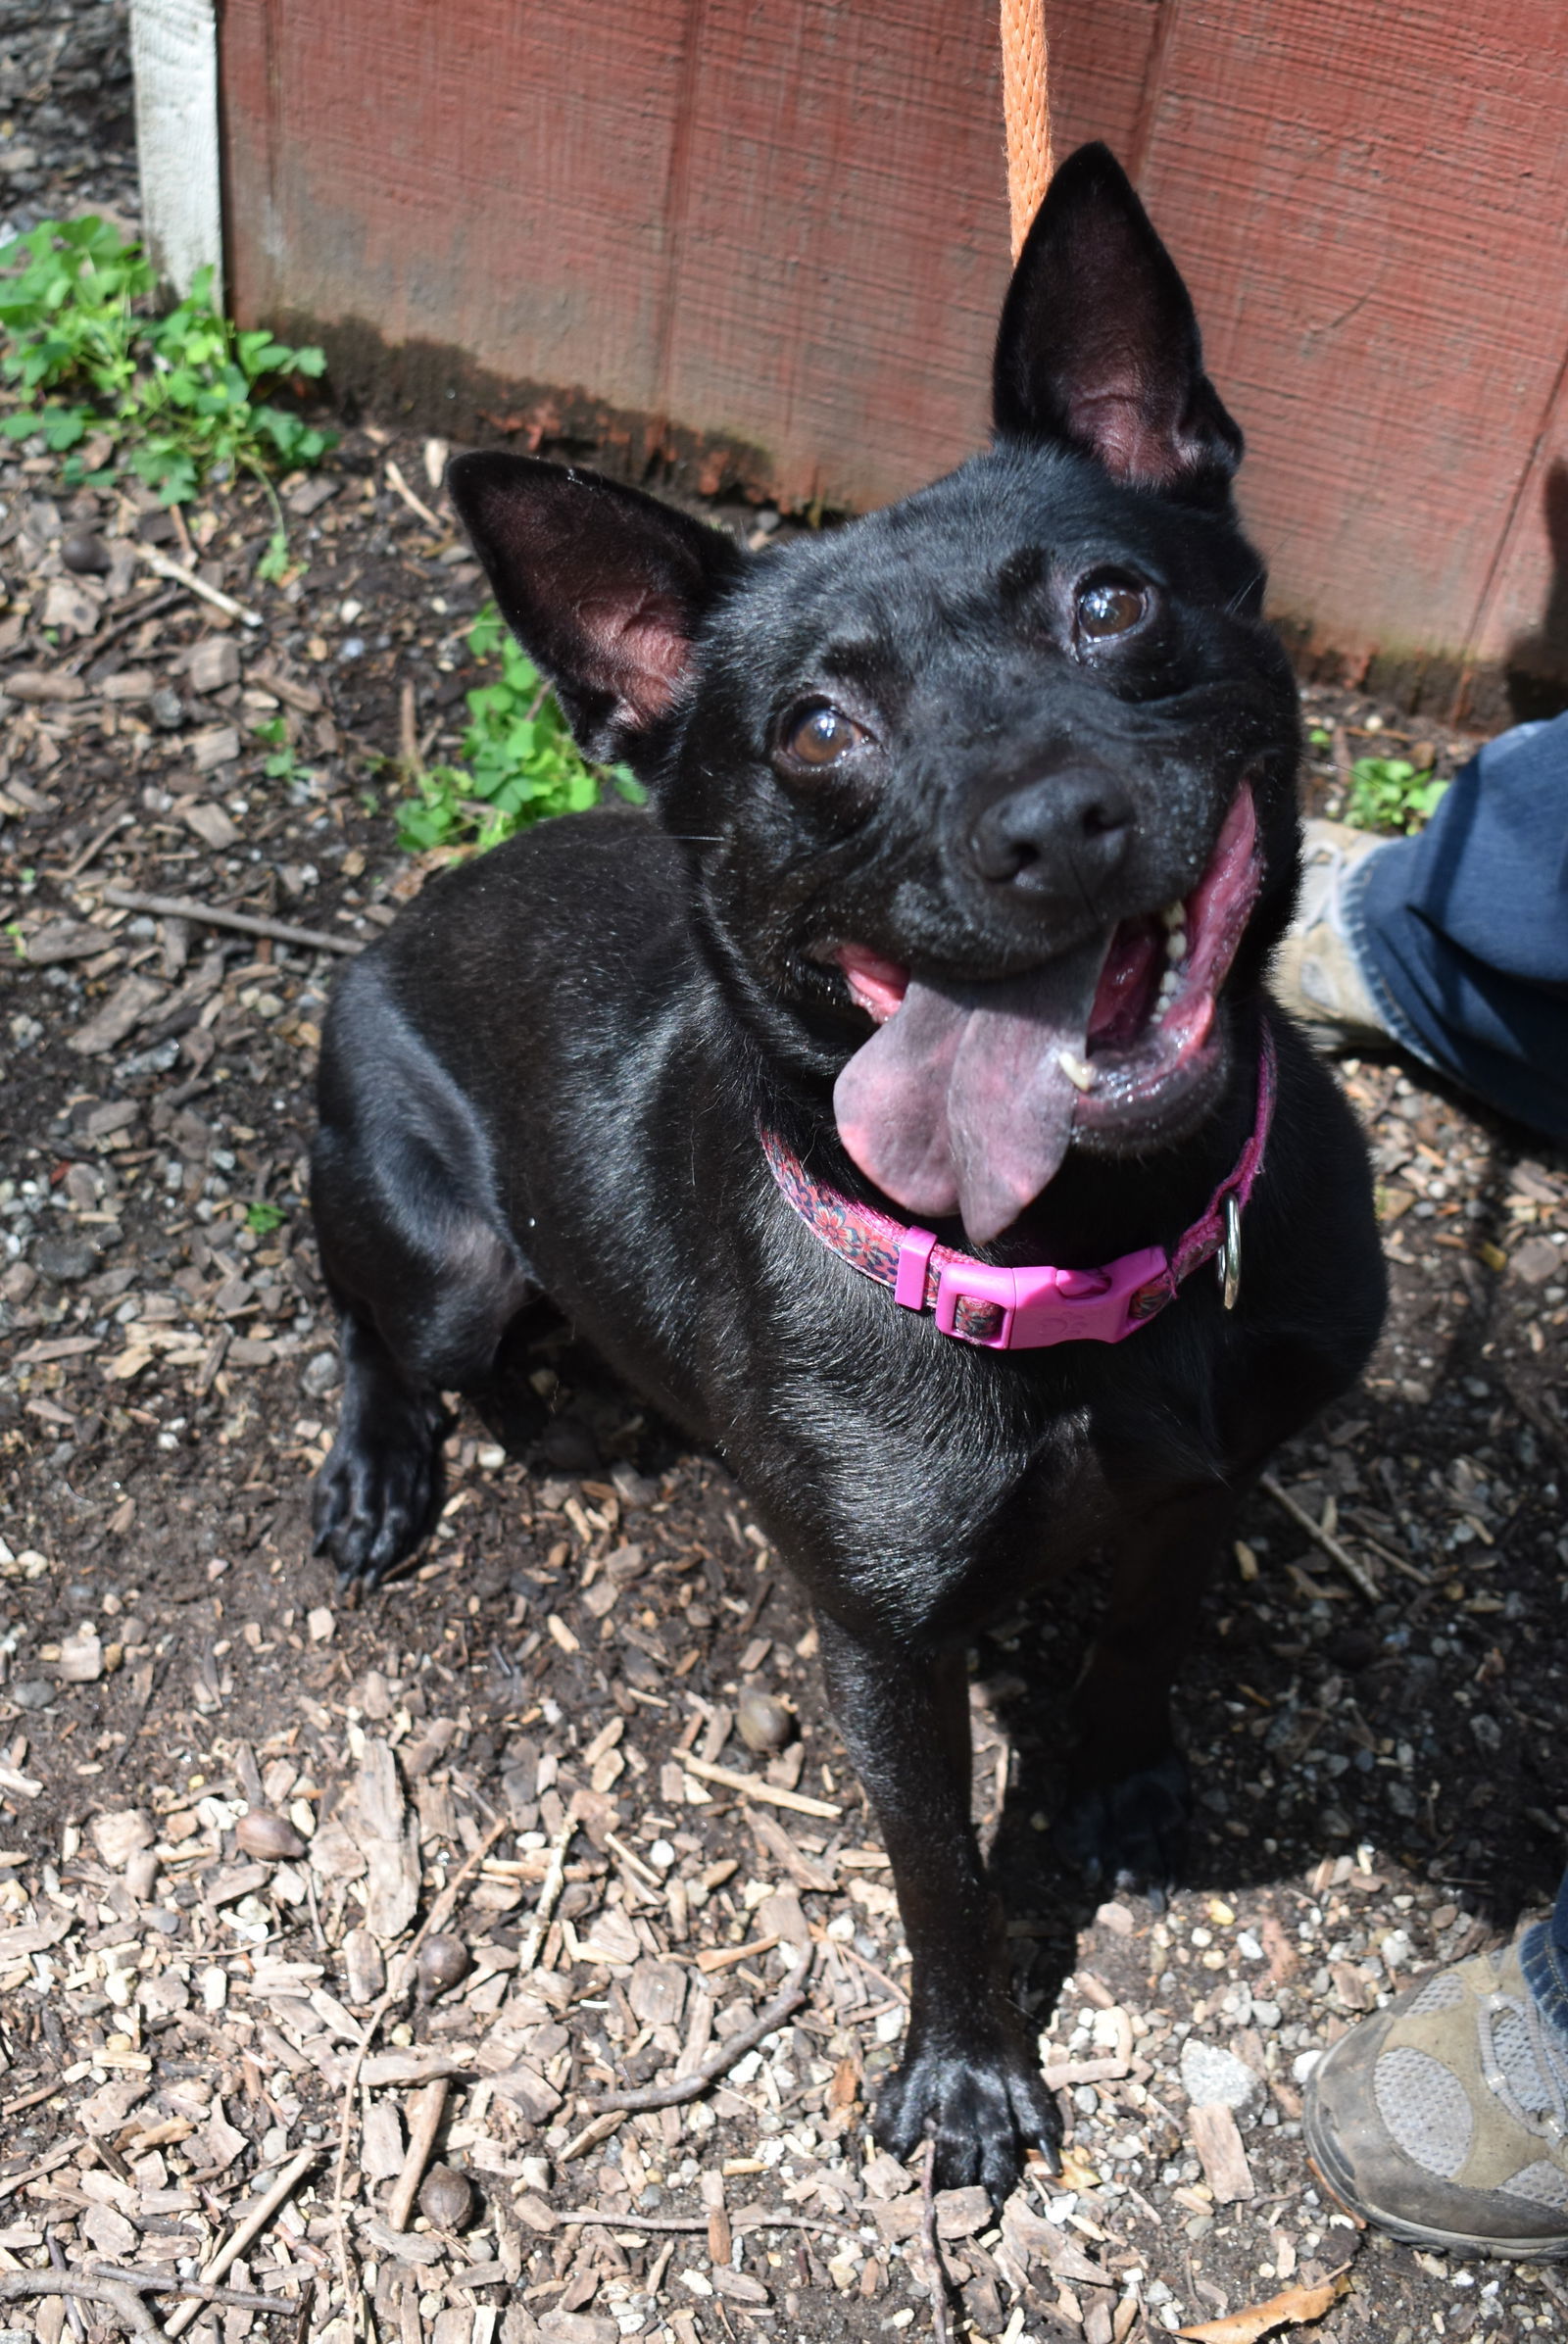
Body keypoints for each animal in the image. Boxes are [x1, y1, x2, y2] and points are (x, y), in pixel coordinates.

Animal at [309, 146, 1378, 2193]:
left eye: (1114, 600)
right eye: (815, 727)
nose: (1052, 823)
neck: (1093, 1258)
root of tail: (391, 929)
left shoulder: (1221, 1469)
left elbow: (1150, 1626)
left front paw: (1128, 1777)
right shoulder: (888, 1645)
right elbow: (941, 1866)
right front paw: (964, 2078)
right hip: (442, 1256)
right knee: (377, 1328)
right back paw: (379, 1464)